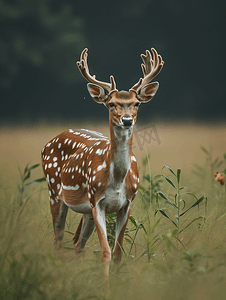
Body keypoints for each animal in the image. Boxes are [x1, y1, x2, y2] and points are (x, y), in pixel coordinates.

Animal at [41, 46, 164, 274]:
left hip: (85, 211)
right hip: (54, 192)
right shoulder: (96, 201)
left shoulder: (126, 203)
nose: (127, 120)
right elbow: (105, 252)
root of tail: (49, 142)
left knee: (77, 243)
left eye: (136, 103)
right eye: (111, 103)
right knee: (58, 241)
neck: (116, 179)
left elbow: (117, 253)